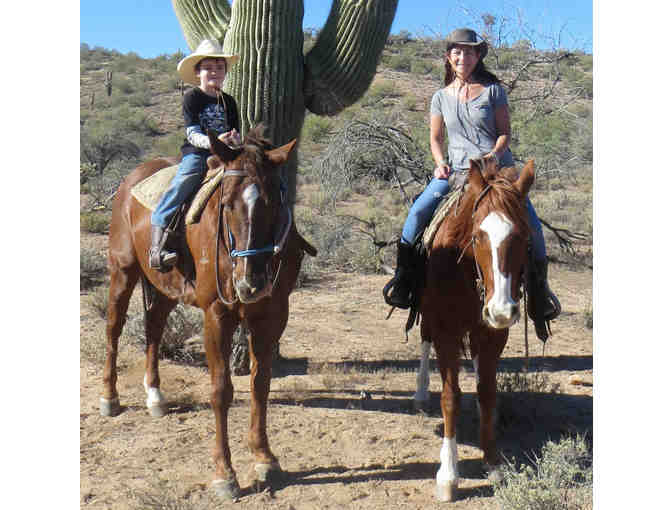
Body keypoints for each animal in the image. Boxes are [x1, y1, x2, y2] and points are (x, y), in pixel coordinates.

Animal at [101, 125, 316, 500]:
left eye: (275, 202)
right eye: (226, 204)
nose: (250, 282)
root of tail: (131, 180)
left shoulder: (272, 314)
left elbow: (261, 383)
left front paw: (265, 458)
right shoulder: (217, 315)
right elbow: (221, 391)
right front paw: (225, 474)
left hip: (165, 287)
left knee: (154, 327)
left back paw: (155, 397)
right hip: (123, 272)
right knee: (114, 327)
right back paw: (110, 399)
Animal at [412, 158, 532, 502]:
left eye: (523, 236)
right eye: (478, 236)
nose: (502, 310)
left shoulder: (492, 334)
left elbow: (487, 391)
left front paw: (493, 462)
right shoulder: (446, 331)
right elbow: (450, 397)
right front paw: (448, 475)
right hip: (428, 314)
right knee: (424, 341)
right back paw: (421, 393)